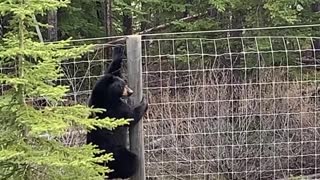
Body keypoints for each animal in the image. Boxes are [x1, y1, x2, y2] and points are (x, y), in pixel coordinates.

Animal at [87, 45, 148, 179]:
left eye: (125, 81)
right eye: (123, 85)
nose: (130, 92)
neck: (106, 96)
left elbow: (112, 71)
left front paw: (118, 52)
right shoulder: (115, 109)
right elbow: (130, 116)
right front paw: (144, 102)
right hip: (116, 154)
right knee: (131, 161)